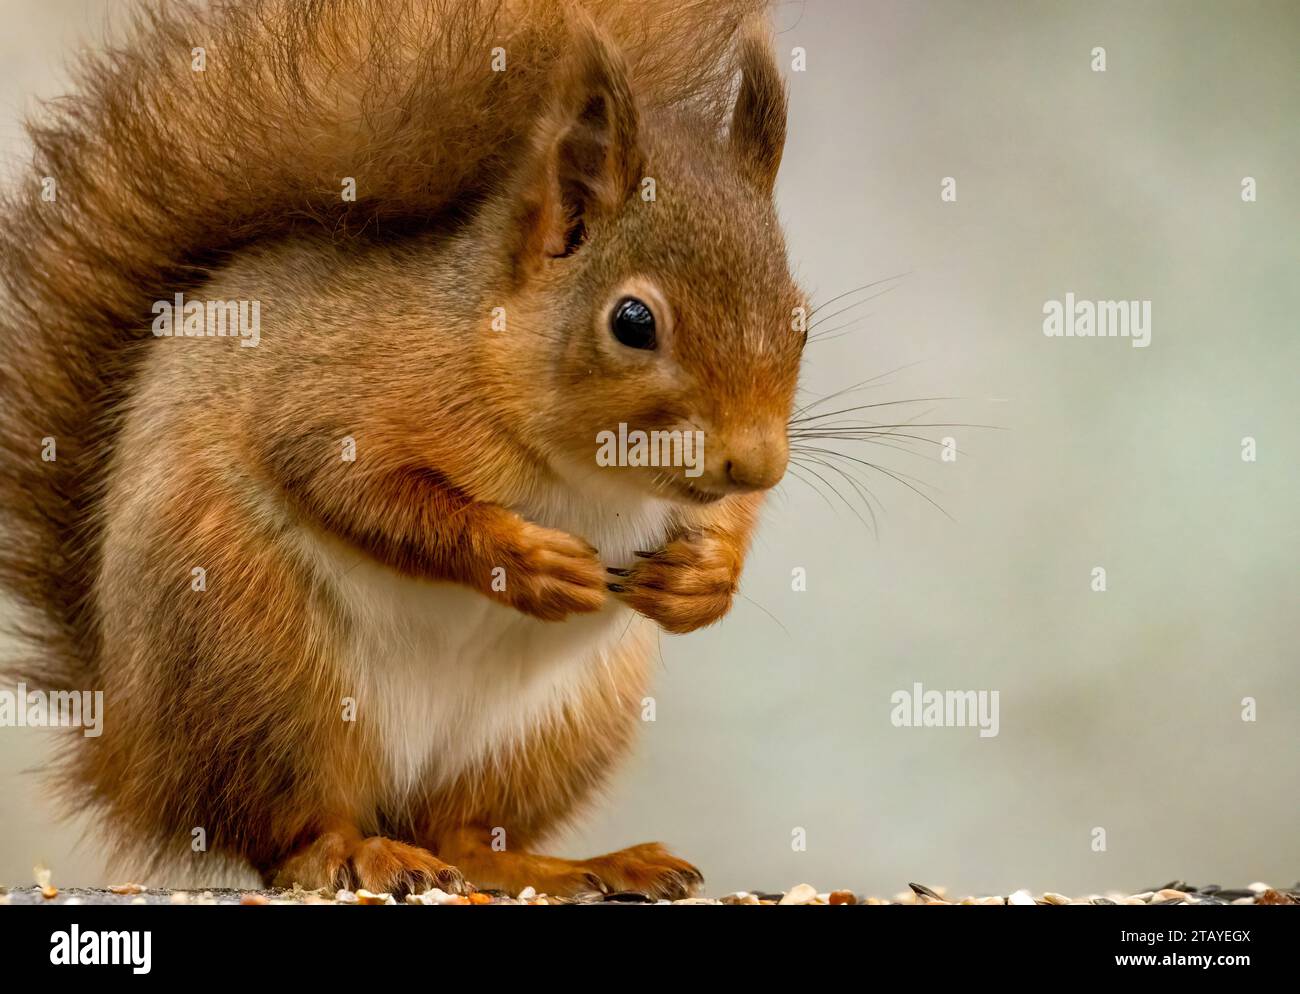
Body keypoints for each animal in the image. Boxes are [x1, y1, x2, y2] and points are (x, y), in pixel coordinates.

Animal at [0, 1, 800, 899]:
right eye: (633, 322)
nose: (757, 460)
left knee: (459, 831)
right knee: (287, 828)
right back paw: (356, 852)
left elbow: (732, 518)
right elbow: (356, 488)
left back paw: (577, 864)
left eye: (801, 317)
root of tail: (128, 756)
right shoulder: (345, 401)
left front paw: (702, 579)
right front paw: (525, 563)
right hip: (256, 660)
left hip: (552, 729)